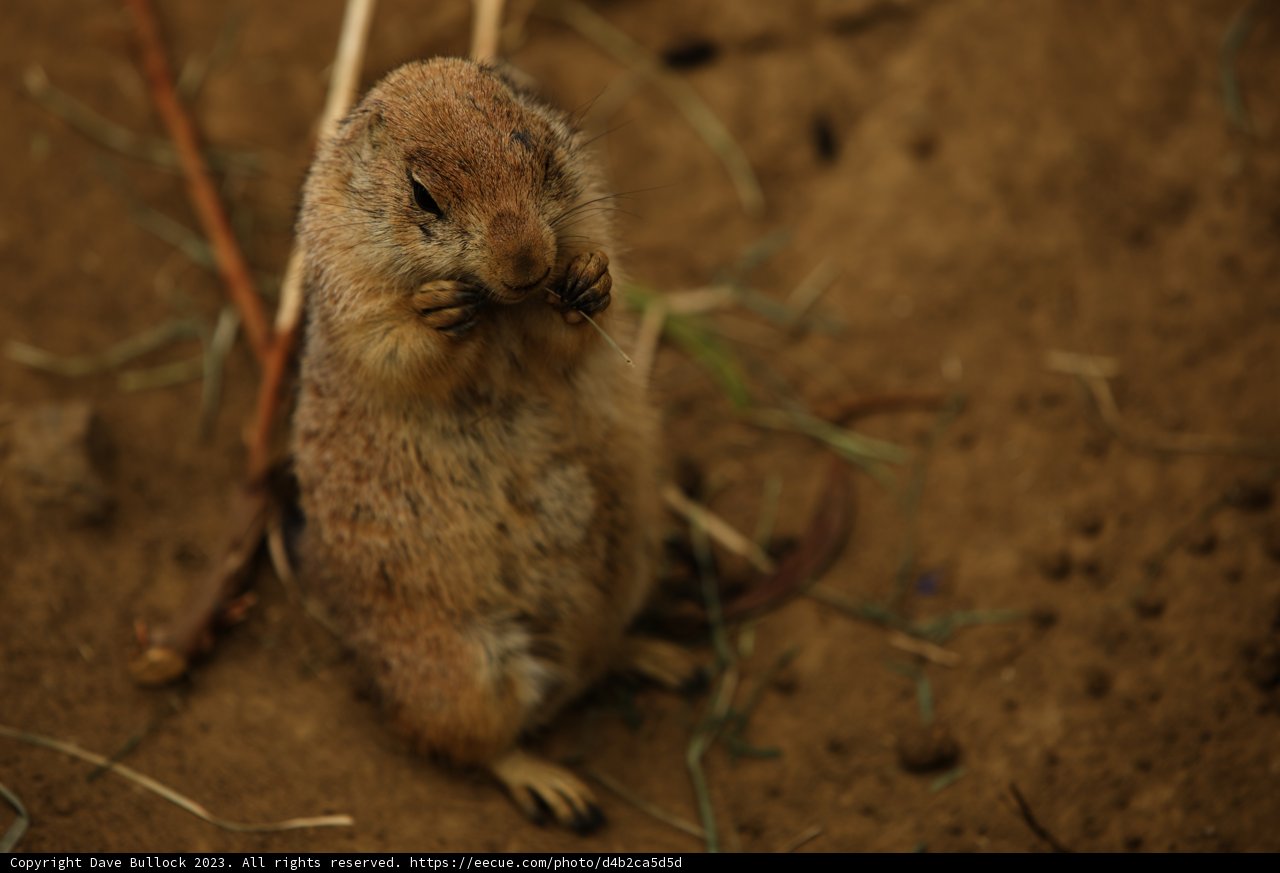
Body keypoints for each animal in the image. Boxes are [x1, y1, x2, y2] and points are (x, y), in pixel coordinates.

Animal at [291, 58, 698, 831]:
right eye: (422, 193)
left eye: (533, 144)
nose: (525, 260)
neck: (502, 313)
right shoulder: (350, 290)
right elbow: (395, 347)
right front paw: (441, 310)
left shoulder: (582, 218)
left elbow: (575, 328)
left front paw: (588, 279)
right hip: (462, 670)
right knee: (474, 744)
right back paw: (556, 788)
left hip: (632, 563)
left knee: (600, 654)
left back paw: (665, 658)